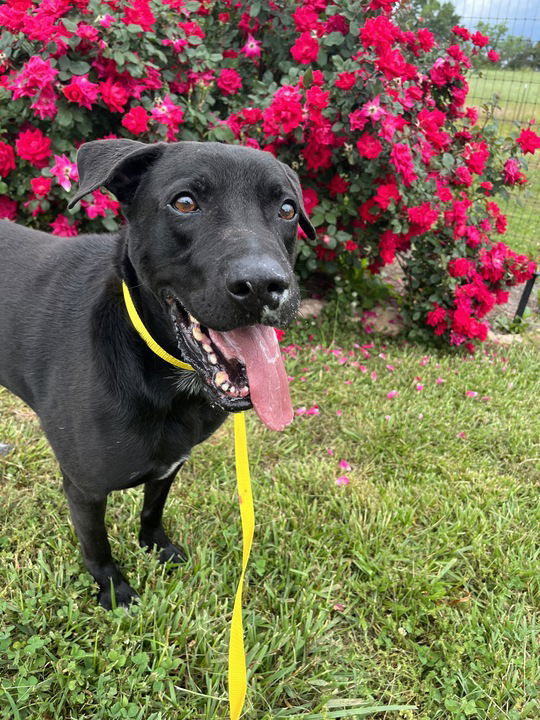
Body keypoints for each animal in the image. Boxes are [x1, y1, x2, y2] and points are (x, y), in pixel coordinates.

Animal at [0, 139, 314, 608]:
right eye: (184, 203)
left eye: (287, 209)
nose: (263, 286)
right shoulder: (84, 487)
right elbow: (97, 544)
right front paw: (114, 590)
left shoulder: (171, 460)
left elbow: (153, 506)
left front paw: (156, 547)